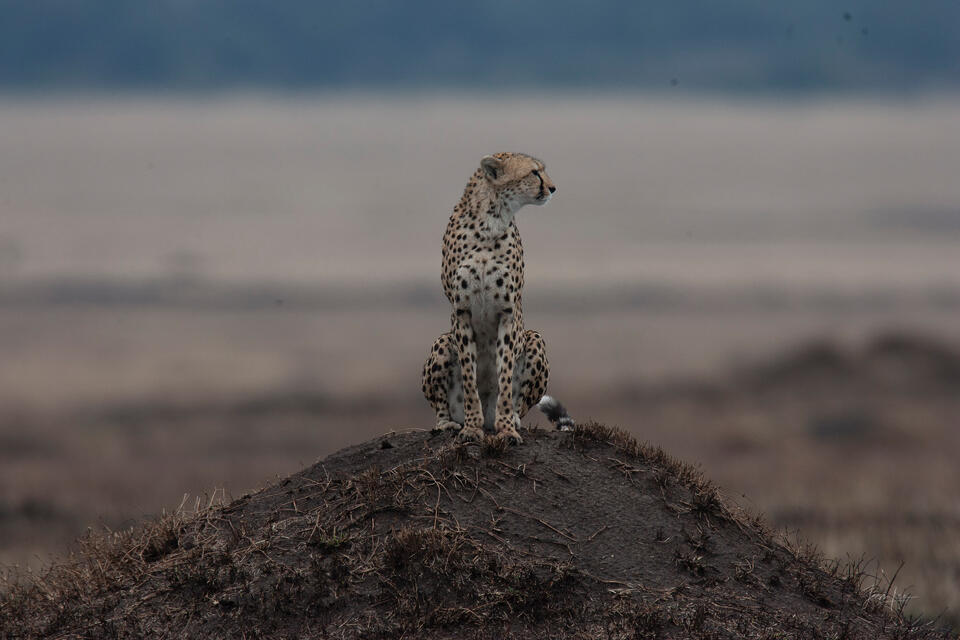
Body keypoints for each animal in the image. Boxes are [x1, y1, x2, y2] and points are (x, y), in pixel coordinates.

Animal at [421, 152, 574, 445]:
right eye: (534, 172)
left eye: (541, 171)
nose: (553, 188)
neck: (490, 222)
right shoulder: (462, 312)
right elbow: (470, 378)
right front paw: (471, 428)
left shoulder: (507, 313)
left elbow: (504, 376)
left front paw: (506, 429)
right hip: (443, 341)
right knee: (441, 406)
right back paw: (449, 423)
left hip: (535, 338)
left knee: (519, 402)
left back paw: (509, 419)